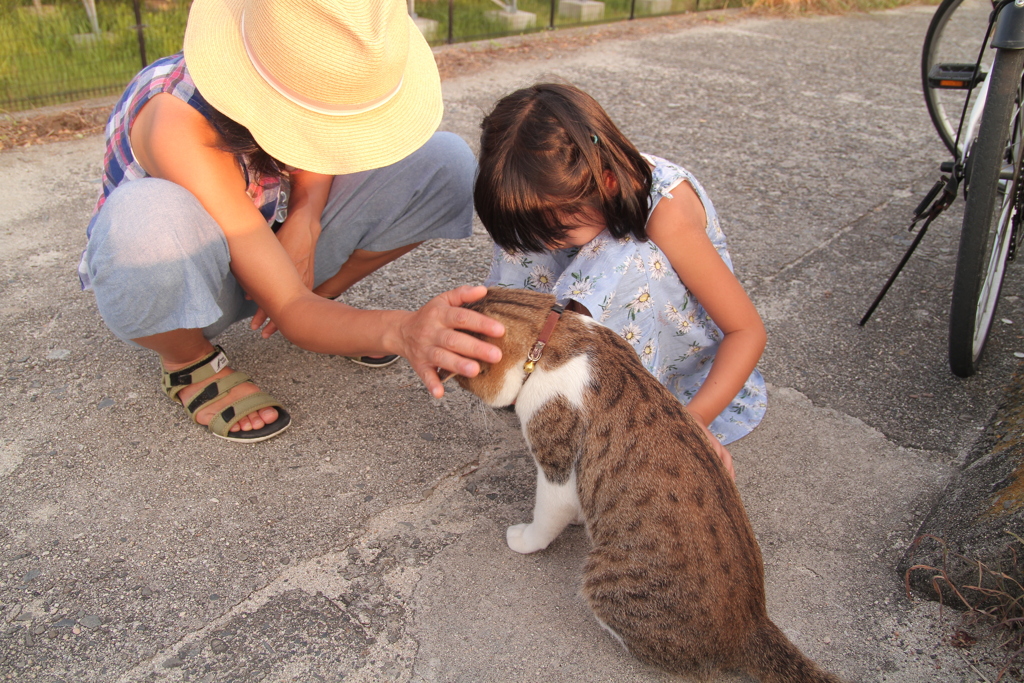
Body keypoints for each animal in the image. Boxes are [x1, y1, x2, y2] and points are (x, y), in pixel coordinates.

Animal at [452, 288, 843, 683]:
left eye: (460, 377)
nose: (466, 397)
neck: (552, 335)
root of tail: (753, 624)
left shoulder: (556, 465)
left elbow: (547, 516)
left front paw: (526, 539)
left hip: (605, 579)